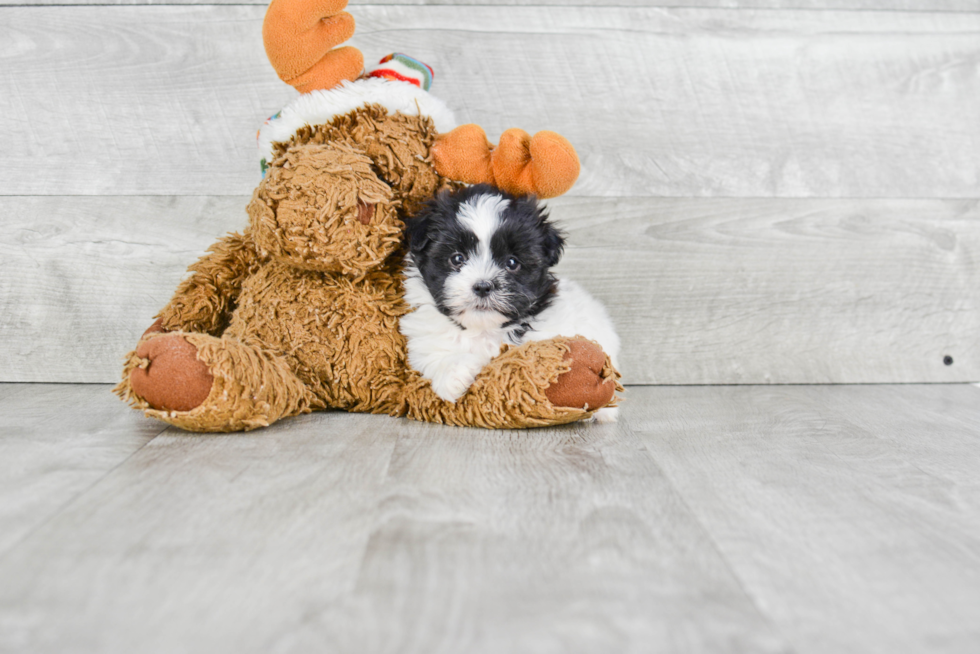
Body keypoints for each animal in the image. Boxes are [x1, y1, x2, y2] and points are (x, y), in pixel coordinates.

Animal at [400, 184, 620, 422]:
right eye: (457, 258)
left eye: (512, 263)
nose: (483, 286)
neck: (484, 328)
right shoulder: (424, 334)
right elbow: (433, 351)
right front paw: (455, 375)